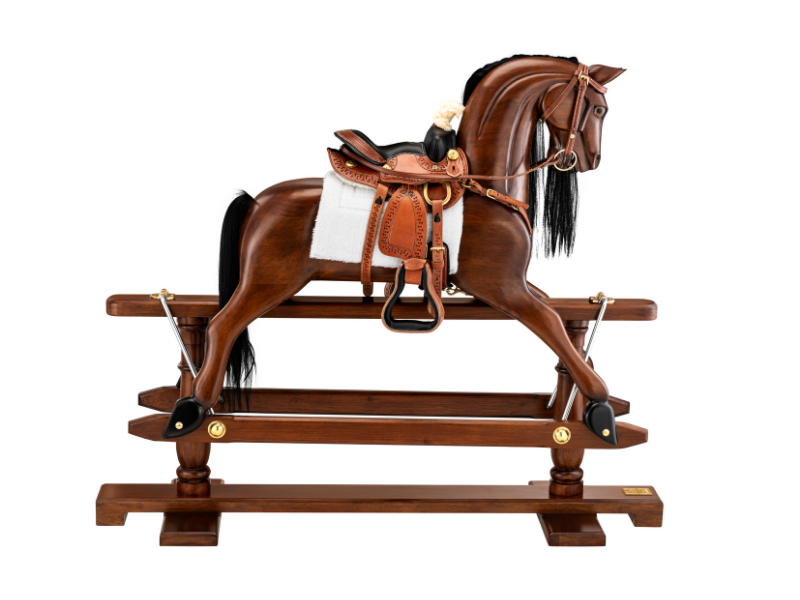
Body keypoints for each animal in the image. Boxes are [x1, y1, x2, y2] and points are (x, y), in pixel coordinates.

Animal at [162, 54, 626, 444]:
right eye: (599, 109)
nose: (591, 160)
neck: (484, 184)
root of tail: (257, 200)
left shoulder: (510, 285)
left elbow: (559, 317)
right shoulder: (501, 286)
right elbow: (551, 324)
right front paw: (600, 405)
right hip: (266, 282)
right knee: (221, 326)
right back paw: (191, 409)